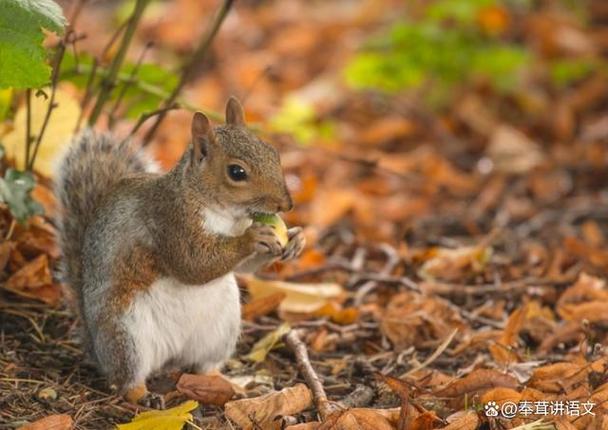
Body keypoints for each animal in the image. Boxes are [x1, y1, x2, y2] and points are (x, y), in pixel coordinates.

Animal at [54, 97, 304, 406]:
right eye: (237, 172)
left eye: (273, 153)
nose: (286, 205)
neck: (222, 213)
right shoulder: (170, 220)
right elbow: (192, 263)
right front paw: (252, 237)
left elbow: (243, 267)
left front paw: (295, 239)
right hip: (126, 333)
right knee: (127, 378)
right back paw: (143, 396)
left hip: (220, 330)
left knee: (205, 366)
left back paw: (230, 384)